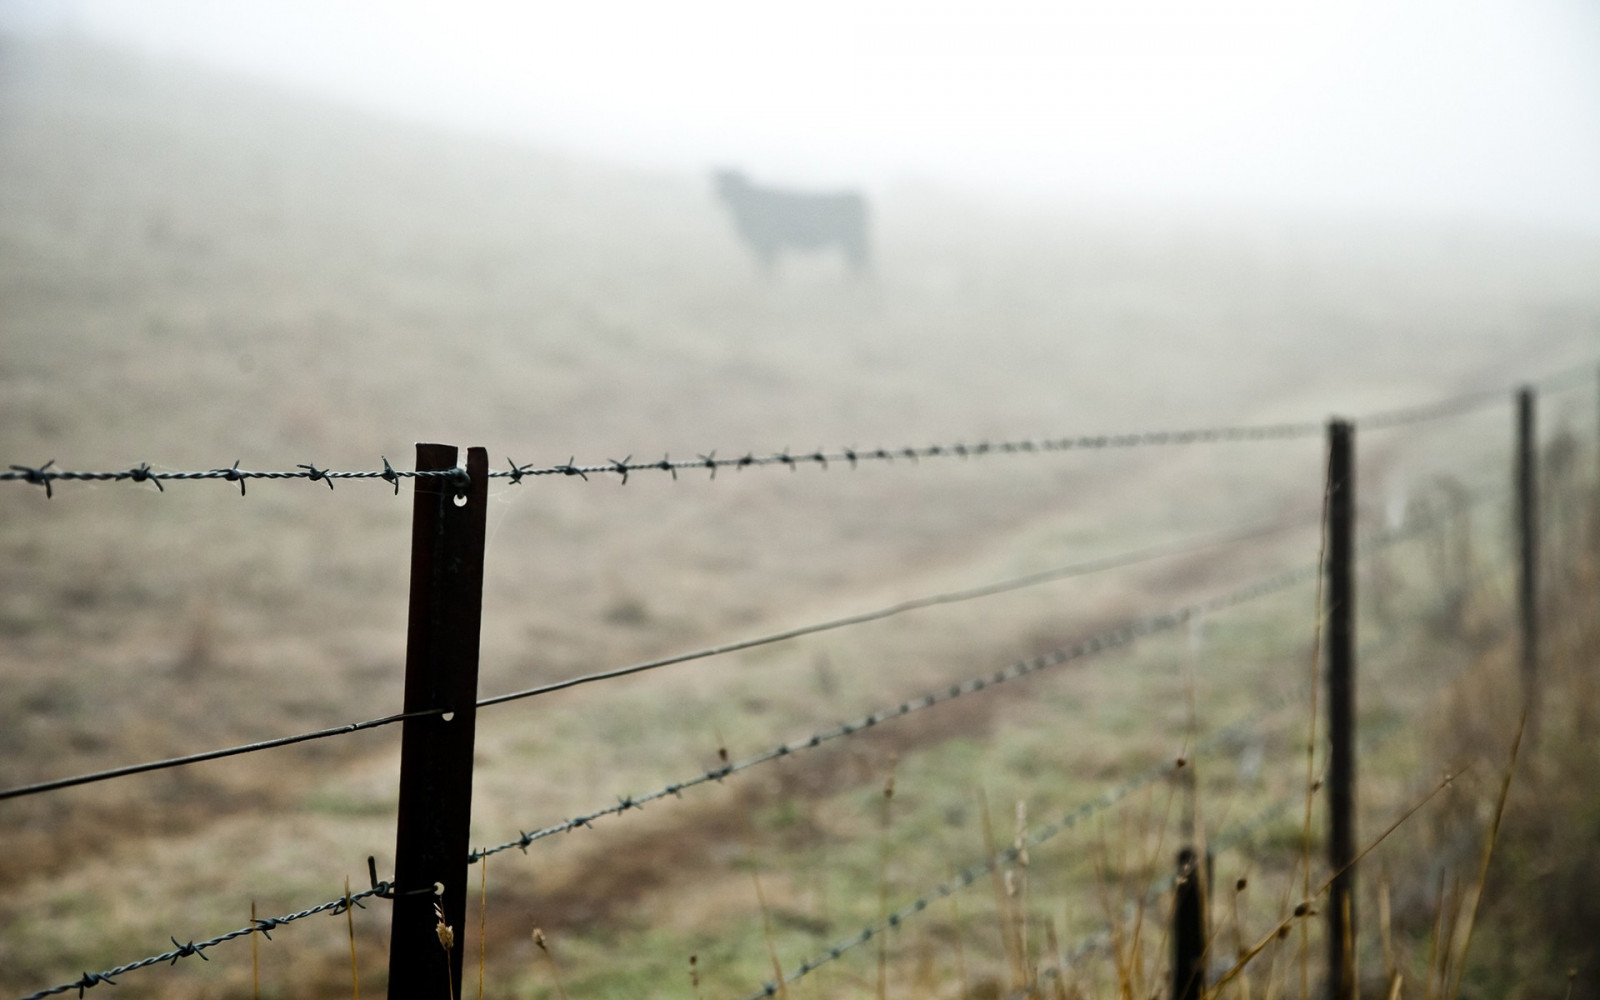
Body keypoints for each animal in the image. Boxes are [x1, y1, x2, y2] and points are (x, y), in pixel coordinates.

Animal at [710, 170, 864, 270]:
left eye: (734, 184)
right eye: (723, 184)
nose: (720, 197)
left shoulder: (768, 241)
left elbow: (767, 263)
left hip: (854, 239)